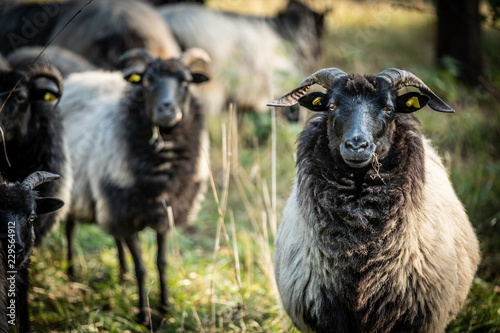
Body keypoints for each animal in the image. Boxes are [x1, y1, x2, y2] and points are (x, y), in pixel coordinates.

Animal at [60, 47, 211, 324]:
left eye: (186, 82)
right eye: (147, 81)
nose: (166, 110)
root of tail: (78, 78)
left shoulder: (163, 214)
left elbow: (161, 262)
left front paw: (166, 306)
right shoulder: (126, 212)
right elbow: (142, 267)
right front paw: (143, 314)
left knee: (114, 236)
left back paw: (122, 274)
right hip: (76, 189)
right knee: (70, 228)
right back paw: (71, 271)